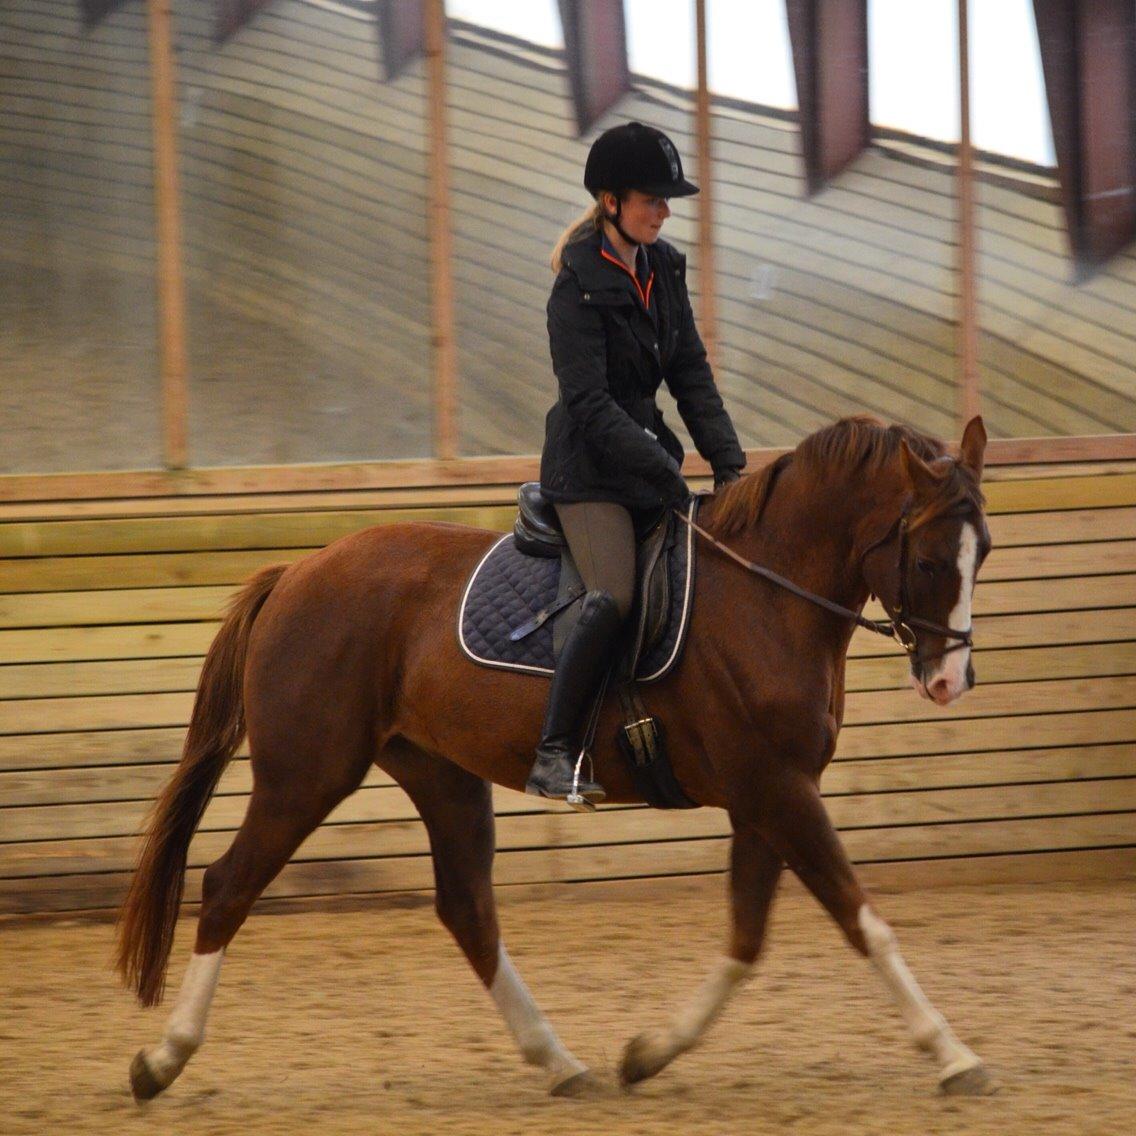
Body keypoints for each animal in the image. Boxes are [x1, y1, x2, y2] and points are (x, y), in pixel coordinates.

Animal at [115, 418, 990, 1099]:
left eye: (981, 552)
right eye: (927, 560)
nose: (949, 681)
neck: (769, 598)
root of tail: (296, 571)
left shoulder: (767, 795)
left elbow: (746, 940)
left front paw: (648, 1054)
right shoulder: (778, 791)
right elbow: (862, 920)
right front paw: (954, 1054)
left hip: (441, 774)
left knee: (467, 909)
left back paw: (561, 1062)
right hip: (305, 774)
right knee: (228, 887)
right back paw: (162, 1060)